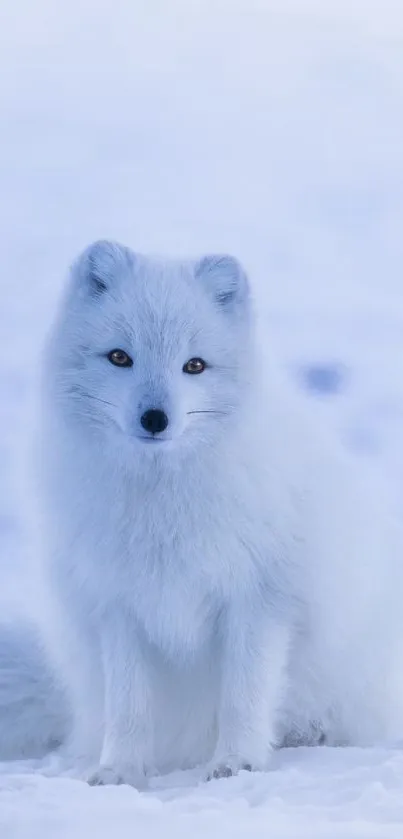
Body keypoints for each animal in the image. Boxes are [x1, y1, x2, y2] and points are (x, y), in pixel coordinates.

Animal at [0, 238, 403, 788]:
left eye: (194, 365)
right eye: (120, 357)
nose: (155, 418)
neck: (161, 502)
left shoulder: (258, 600)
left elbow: (244, 696)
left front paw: (237, 764)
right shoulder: (117, 606)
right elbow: (128, 705)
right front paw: (120, 771)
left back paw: (311, 734)